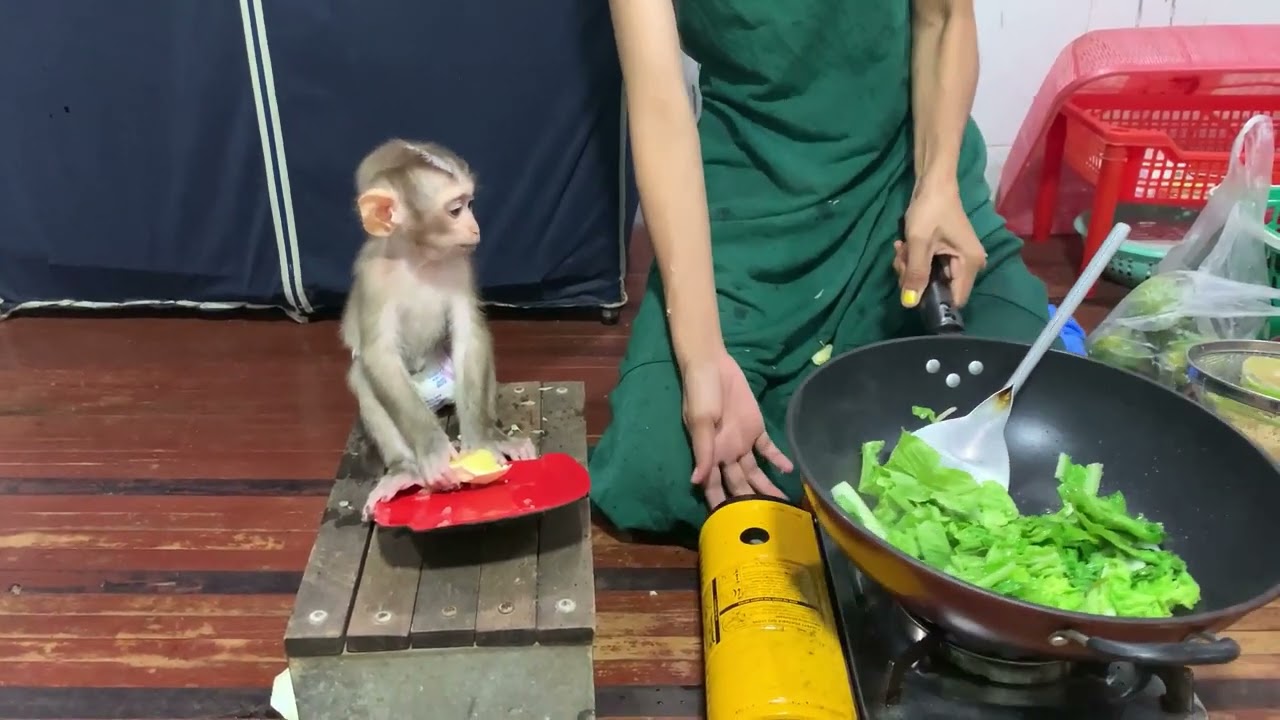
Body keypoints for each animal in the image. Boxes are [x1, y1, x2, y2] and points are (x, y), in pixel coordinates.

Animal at [341, 139, 537, 519]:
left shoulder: (460, 263)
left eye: (470, 204)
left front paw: (482, 440)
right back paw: (404, 470)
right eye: (456, 210)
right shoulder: (373, 278)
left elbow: (470, 333)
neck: (418, 258)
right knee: (363, 375)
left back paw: (496, 436)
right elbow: (378, 354)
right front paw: (432, 450)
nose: (476, 228)